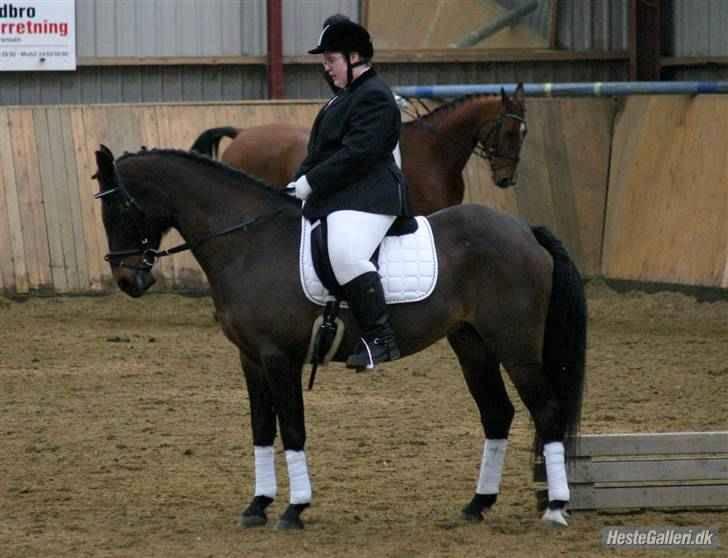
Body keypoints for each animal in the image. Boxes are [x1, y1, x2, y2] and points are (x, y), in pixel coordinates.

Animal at [95, 147, 584, 532]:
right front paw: (257, 505)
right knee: (497, 414)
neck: (249, 242)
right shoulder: (250, 358)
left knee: (546, 410)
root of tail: (524, 230)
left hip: (515, 346)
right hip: (471, 343)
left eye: (122, 208)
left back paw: (556, 508)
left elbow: (292, 428)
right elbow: (260, 428)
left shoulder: (279, 357)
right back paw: (477, 505)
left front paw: (294, 510)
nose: (128, 280)